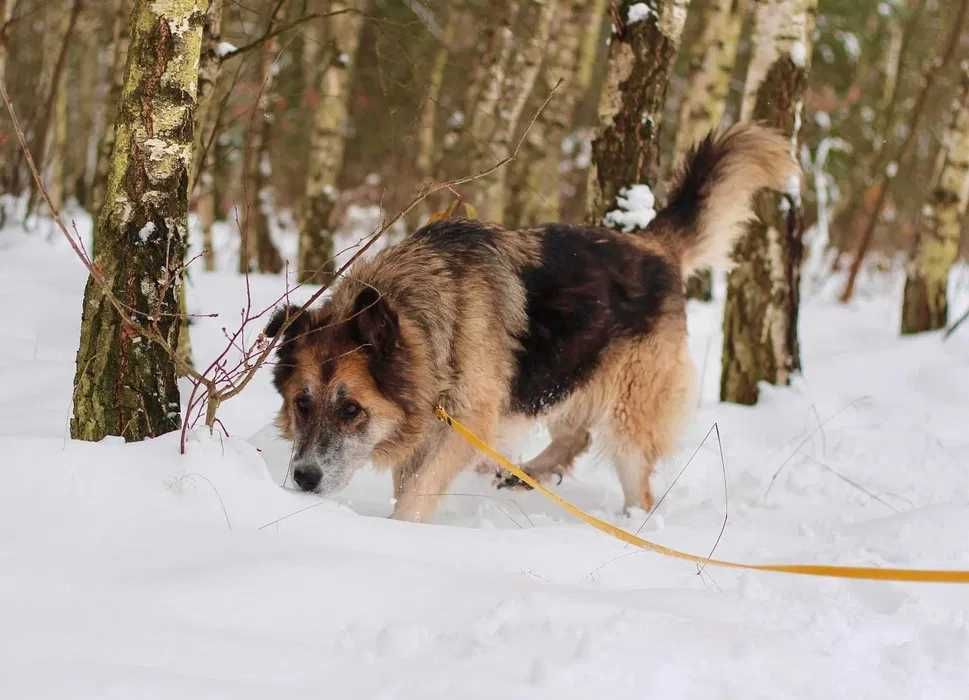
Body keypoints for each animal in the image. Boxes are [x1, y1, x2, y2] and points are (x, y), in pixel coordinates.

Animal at [264, 124, 796, 520]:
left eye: (351, 409)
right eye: (302, 404)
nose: (303, 478)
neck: (434, 317)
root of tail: (655, 246)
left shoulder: (465, 424)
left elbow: (417, 492)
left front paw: (399, 532)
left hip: (627, 413)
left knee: (635, 481)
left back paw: (631, 525)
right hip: (565, 371)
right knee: (575, 435)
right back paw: (525, 474)